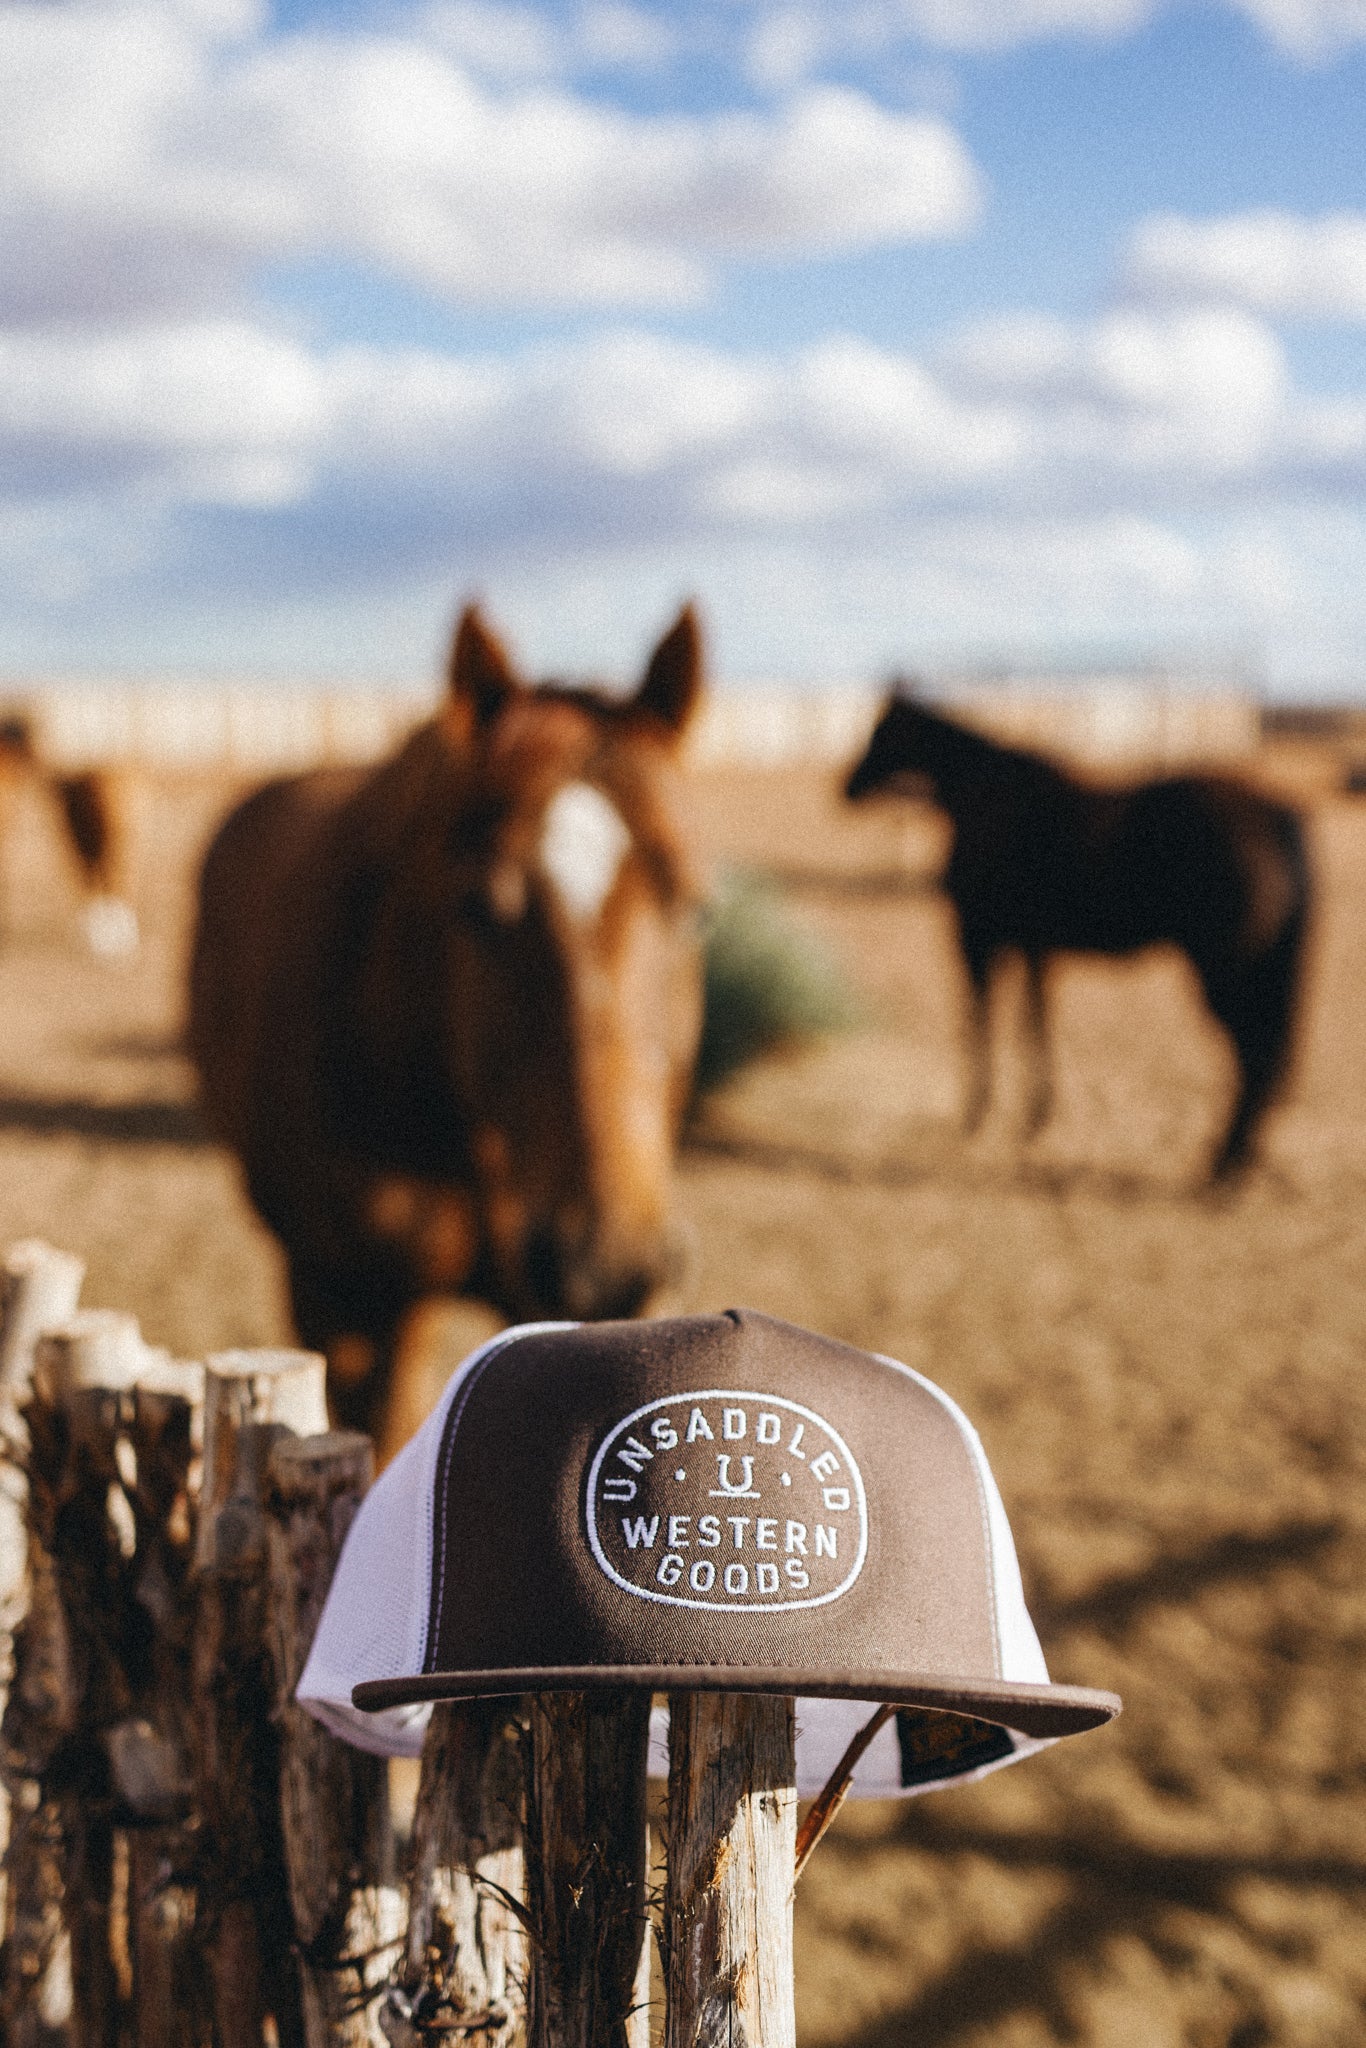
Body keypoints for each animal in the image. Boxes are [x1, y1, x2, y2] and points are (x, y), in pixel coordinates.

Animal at [843, 688, 1310, 1179]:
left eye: (881, 731)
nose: (847, 788)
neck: (986, 799)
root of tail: (1276, 816)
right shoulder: (1032, 947)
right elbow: (1034, 1021)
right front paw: (1035, 1117)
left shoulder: (976, 939)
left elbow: (982, 1020)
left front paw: (978, 1115)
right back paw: (1235, 1160)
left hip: (1228, 977)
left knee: (1256, 1058)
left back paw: (1223, 1166)